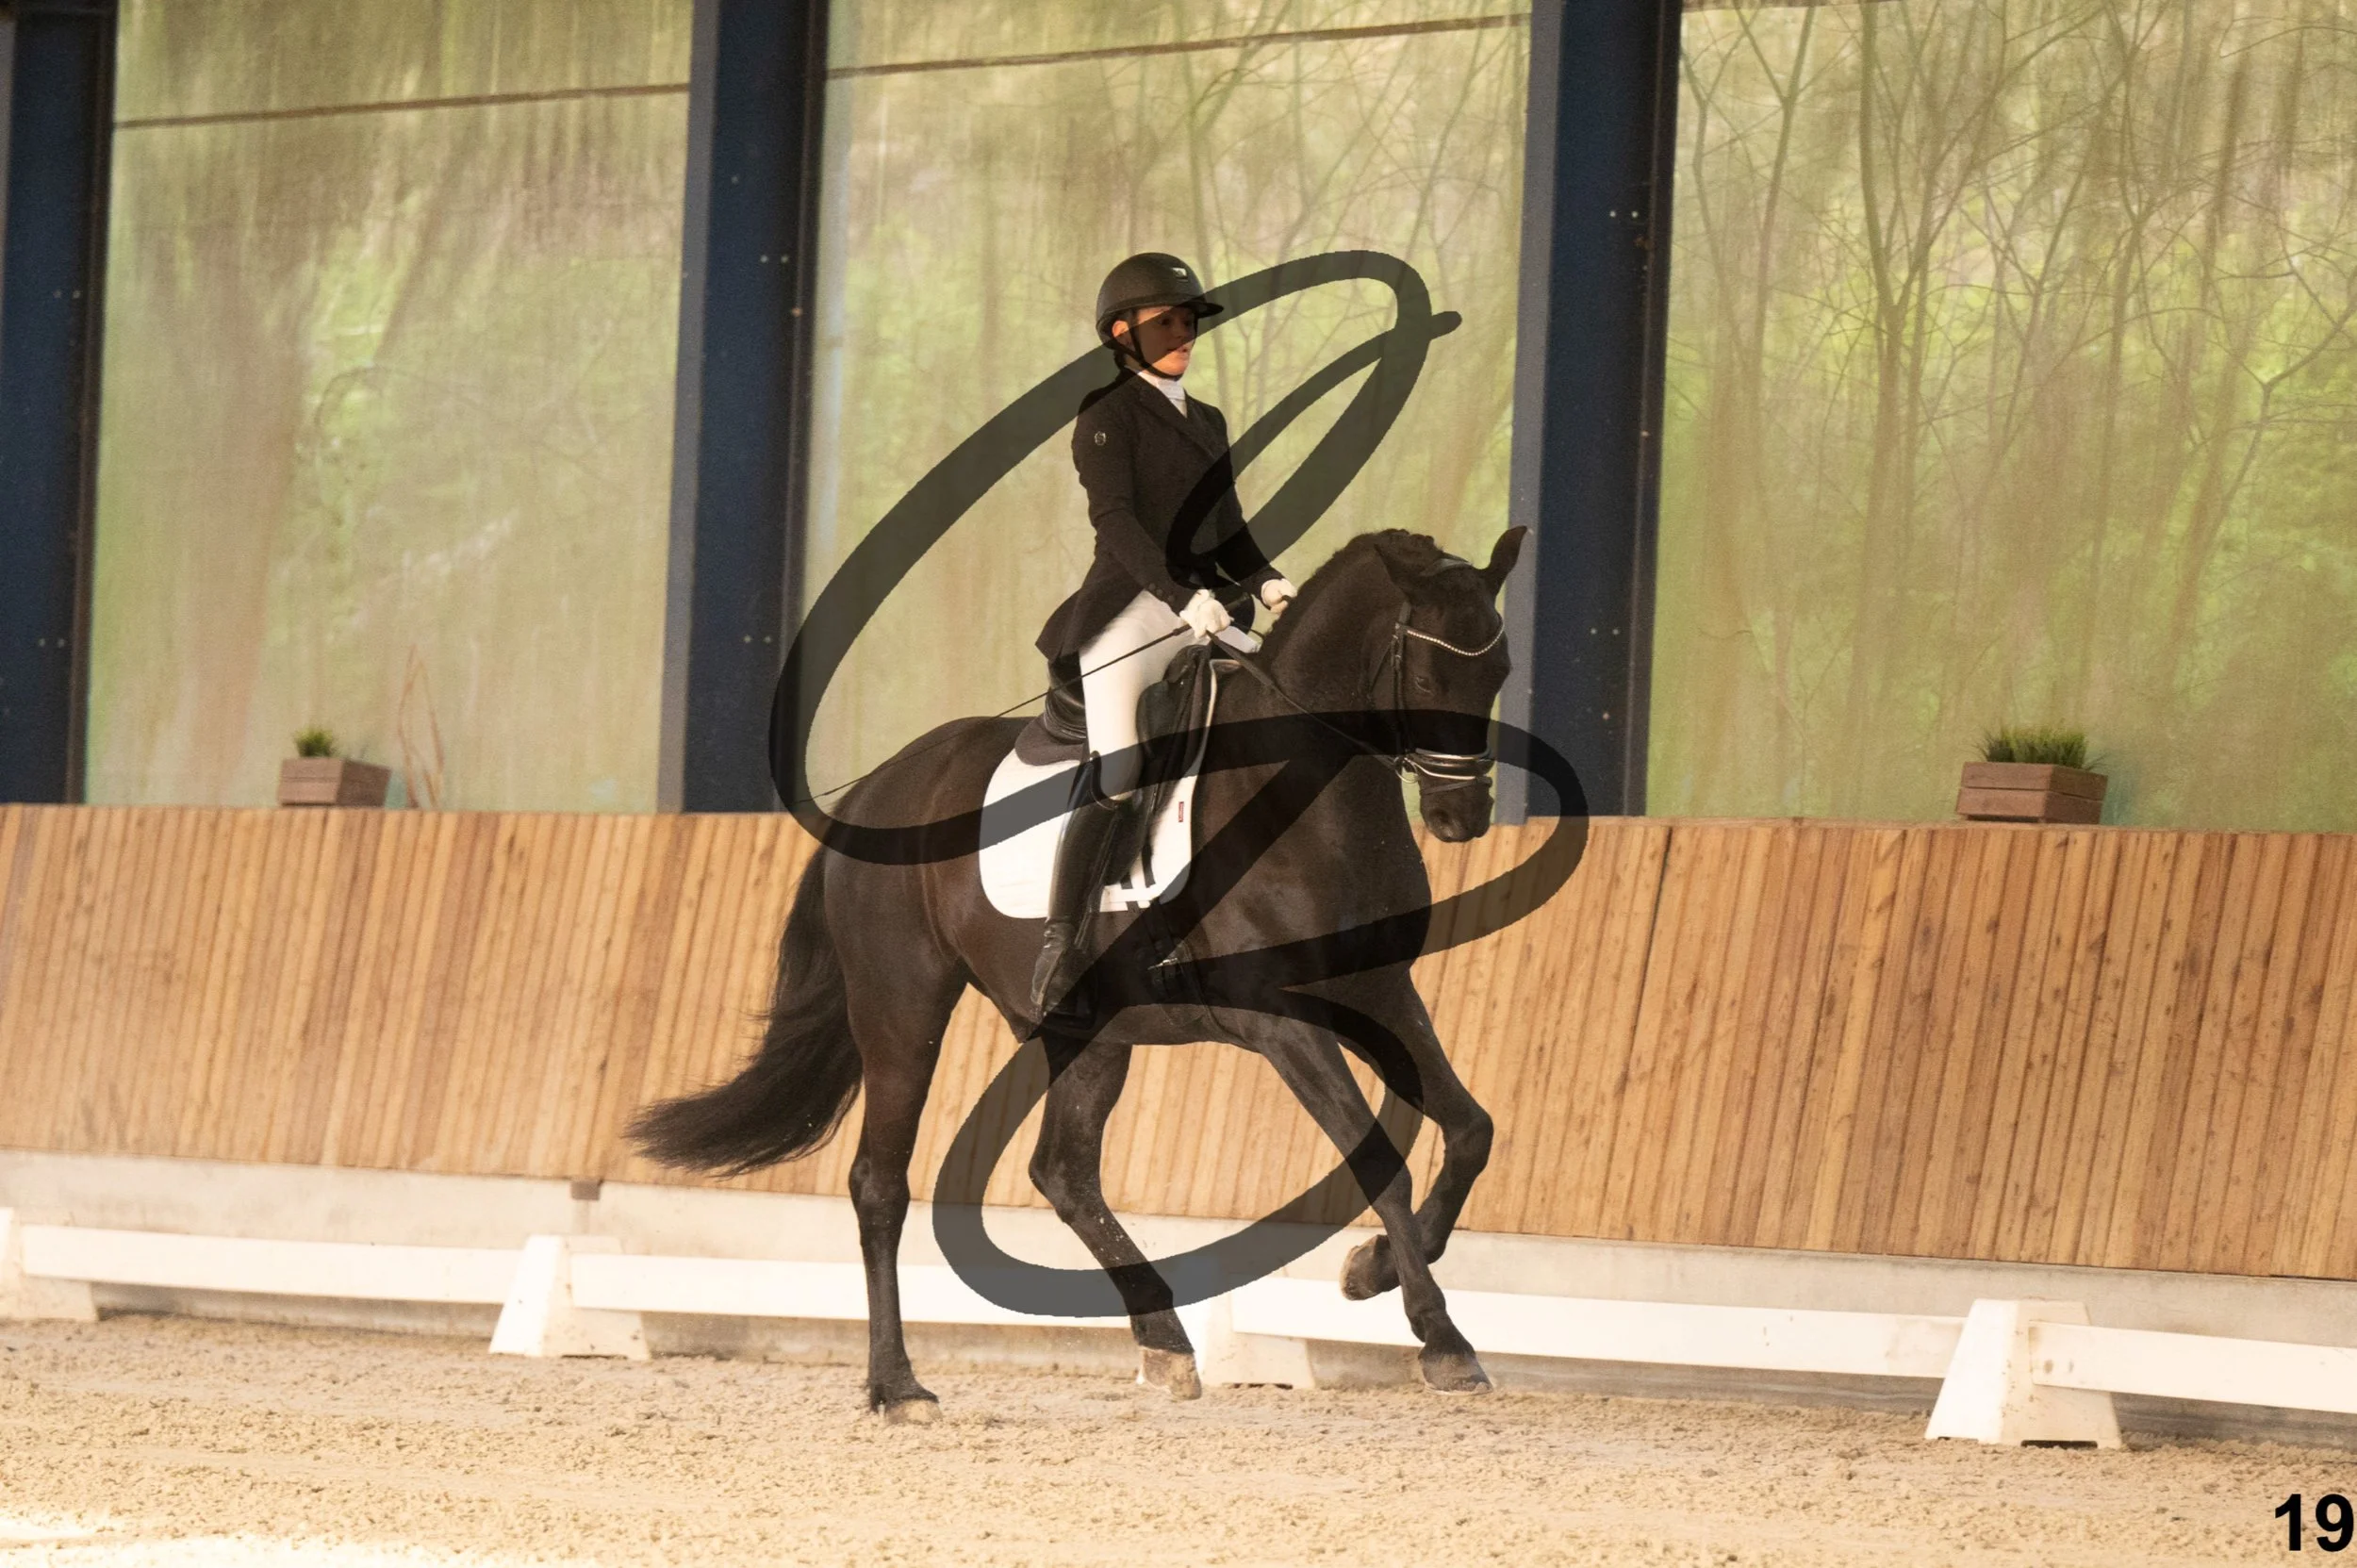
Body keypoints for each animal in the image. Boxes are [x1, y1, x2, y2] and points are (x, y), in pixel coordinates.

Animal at [632, 525, 1526, 1422]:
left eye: (1499, 673)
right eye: (1430, 676)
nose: (1463, 816)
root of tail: (879, 787)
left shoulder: (1378, 992)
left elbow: (1471, 1128)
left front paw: (1370, 1270)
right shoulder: (1284, 1022)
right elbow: (1380, 1159)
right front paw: (1441, 1337)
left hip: (1091, 1031)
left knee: (1062, 1171)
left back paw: (1164, 1339)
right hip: (901, 1008)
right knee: (880, 1183)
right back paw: (898, 1385)